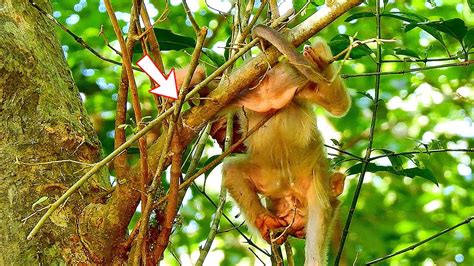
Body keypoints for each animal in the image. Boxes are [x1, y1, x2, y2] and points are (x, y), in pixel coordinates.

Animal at [222, 23, 352, 264]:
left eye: (298, 232)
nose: (298, 231)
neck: (290, 192)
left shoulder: (273, 183)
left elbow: (232, 172)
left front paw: (266, 221)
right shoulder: (318, 194)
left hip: (248, 88)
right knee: (339, 104)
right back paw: (321, 63)